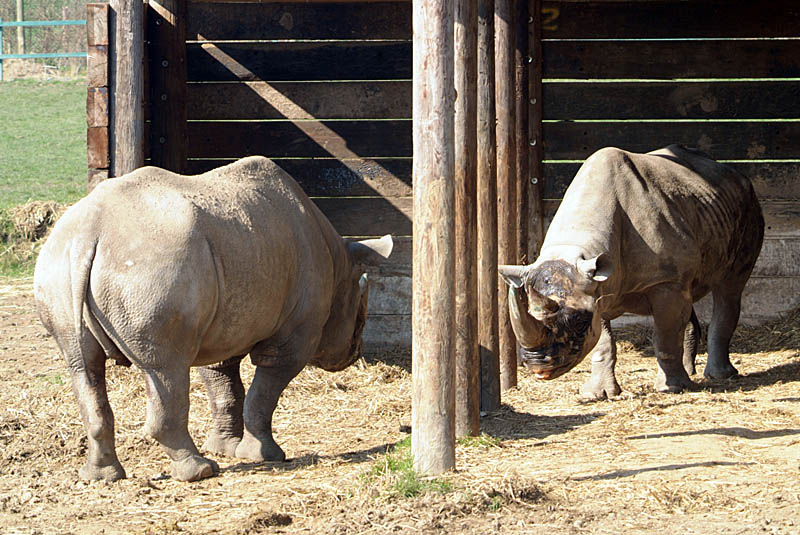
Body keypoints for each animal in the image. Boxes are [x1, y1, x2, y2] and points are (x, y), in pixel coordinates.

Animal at [34, 157, 390, 484]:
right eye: (360, 311)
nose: (354, 354)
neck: (339, 261)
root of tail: (88, 235)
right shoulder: (293, 337)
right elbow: (264, 392)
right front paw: (265, 456)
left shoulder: (220, 326)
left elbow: (224, 386)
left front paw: (226, 448)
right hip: (151, 270)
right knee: (165, 368)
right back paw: (200, 472)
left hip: (59, 265)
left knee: (83, 366)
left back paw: (101, 477)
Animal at [500, 144, 764, 400]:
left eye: (578, 323)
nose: (538, 367)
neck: (575, 246)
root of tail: (736, 174)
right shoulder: (595, 285)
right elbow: (603, 343)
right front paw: (596, 395)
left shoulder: (662, 281)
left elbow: (665, 335)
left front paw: (672, 389)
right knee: (691, 293)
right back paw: (691, 372)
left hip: (749, 206)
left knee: (729, 287)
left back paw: (720, 376)